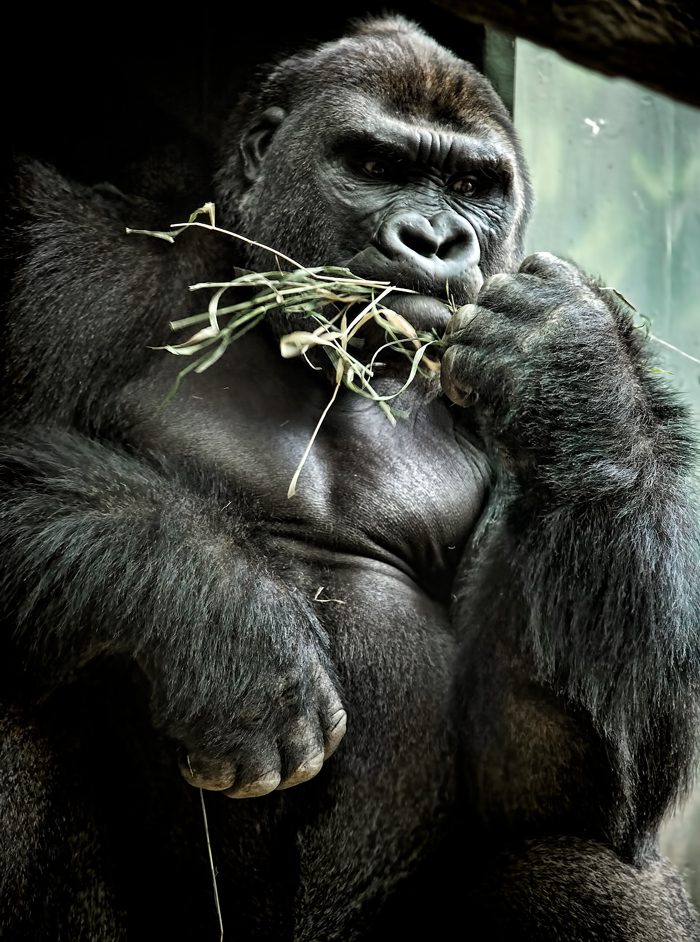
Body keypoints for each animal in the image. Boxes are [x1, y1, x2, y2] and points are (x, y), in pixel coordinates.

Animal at [1, 14, 700, 942]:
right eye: (377, 166)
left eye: (471, 184)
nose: (437, 241)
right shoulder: (69, 271)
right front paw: (220, 620)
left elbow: (571, 783)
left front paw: (571, 361)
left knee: (590, 867)